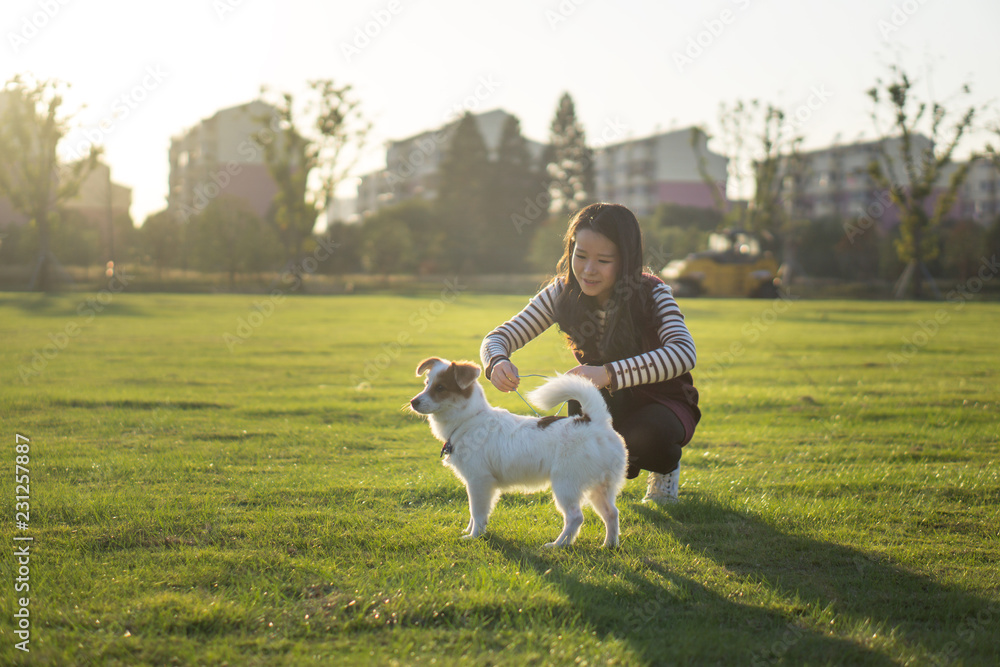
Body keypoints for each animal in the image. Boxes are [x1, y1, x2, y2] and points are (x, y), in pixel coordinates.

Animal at [406, 358, 624, 544]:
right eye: (427, 383)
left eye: (440, 387)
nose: (413, 402)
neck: (469, 420)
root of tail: (594, 422)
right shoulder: (478, 484)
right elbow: (475, 514)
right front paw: (469, 531)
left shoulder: (479, 481)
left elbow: (477, 512)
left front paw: (474, 536)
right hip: (600, 488)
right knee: (611, 513)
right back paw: (609, 545)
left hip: (566, 484)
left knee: (575, 518)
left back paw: (558, 545)